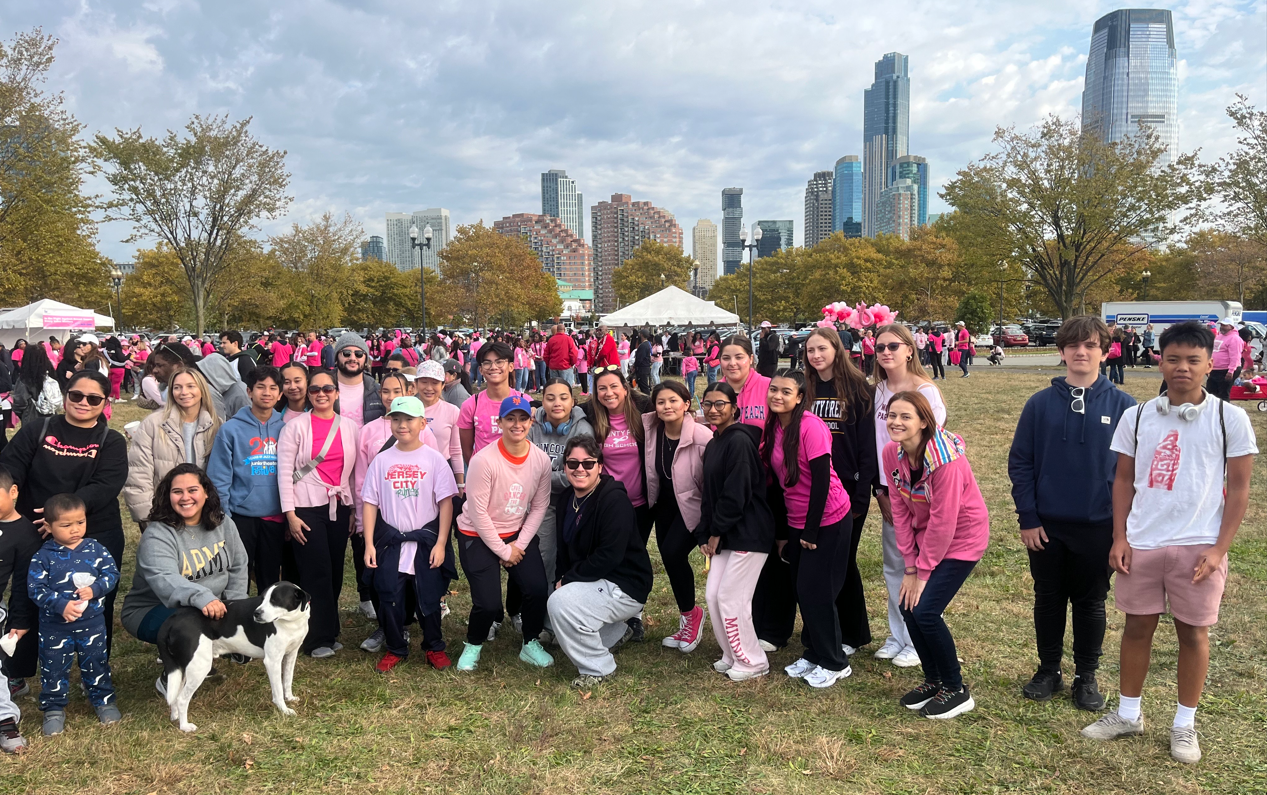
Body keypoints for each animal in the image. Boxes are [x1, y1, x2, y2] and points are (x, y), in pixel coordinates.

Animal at [157, 580, 310, 730]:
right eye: (262, 598)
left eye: (275, 600)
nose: (256, 613)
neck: (291, 623)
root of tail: (172, 618)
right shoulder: (272, 661)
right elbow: (277, 690)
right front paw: (284, 710)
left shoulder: (291, 655)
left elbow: (287, 680)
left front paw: (290, 698)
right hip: (199, 667)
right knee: (182, 699)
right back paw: (185, 726)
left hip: (182, 669)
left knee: (174, 696)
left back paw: (175, 717)